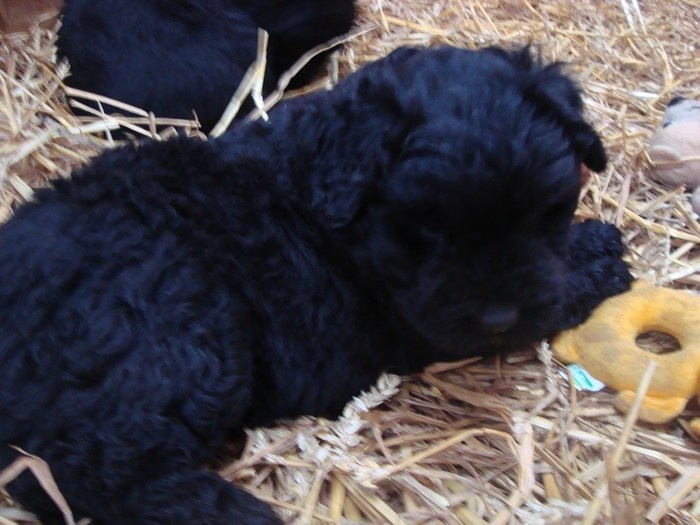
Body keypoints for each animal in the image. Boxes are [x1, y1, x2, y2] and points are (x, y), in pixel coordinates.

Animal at [0, 45, 632, 524]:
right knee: (83, 468)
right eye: (427, 230)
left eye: (542, 212)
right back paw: (237, 514)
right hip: (181, 340)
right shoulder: (413, 322)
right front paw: (600, 257)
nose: (499, 317)